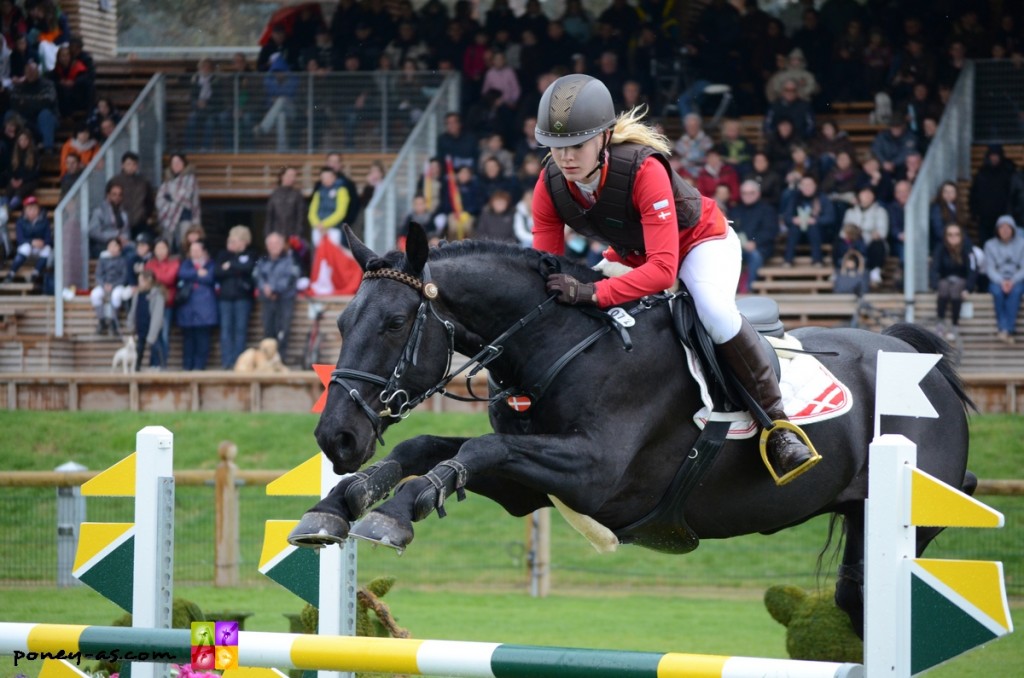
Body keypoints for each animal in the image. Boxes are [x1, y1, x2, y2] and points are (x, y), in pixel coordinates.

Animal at [290, 225, 974, 634]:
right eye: (344, 320)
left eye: (394, 322)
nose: (336, 437)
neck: (562, 342)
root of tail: (919, 358)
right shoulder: (528, 486)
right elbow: (432, 448)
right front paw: (340, 503)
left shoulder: (595, 475)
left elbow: (479, 447)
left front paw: (390, 516)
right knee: (856, 600)